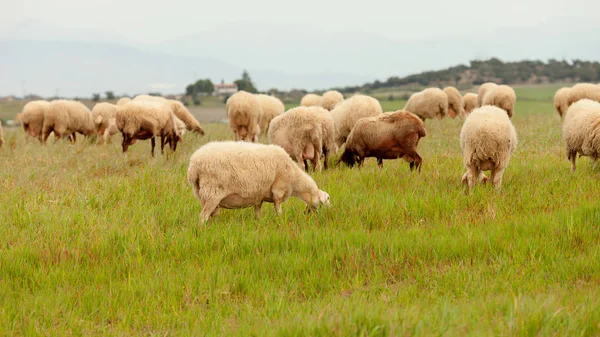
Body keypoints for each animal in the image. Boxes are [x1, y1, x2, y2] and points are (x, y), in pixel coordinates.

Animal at [186, 140, 330, 223]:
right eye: (328, 198)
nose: (328, 212)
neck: (295, 180)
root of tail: (193, 166)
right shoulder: (279, 189)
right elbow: (278, 208)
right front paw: (280, 220)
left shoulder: (258, 197)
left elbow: (257, 212)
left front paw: (258, 223)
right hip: (212, 193)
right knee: (203, 217)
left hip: (204, 194)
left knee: (210, 215)